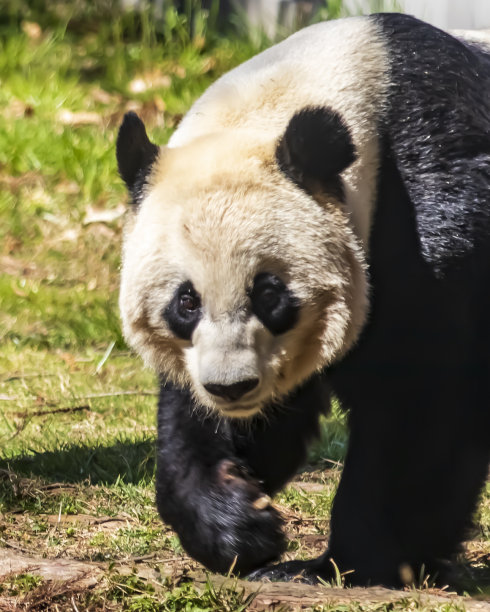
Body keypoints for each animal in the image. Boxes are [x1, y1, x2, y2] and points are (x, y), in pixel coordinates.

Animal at [117, 13, 490, 588]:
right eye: (186, 303)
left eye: (269, 293)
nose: (231, 387)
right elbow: (222, 420)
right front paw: (237, 524)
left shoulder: (430, 214)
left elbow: (421, 401)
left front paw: (347, 564)